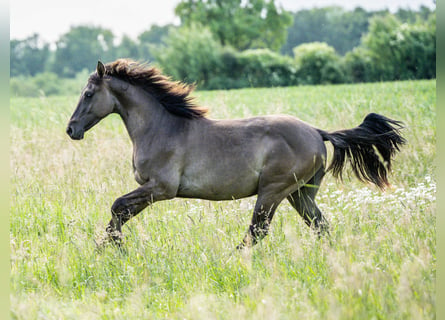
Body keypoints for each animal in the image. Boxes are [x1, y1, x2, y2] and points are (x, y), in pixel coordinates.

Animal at [67, 59, 406, 248]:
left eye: (88, 93)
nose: (71, 129)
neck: (161, 127)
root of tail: (317, 132)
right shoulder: (151, 190)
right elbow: (120, 212)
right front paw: (107, 248)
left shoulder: (161, 188)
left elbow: (117, 206)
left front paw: (111, 248)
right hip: (301, 194)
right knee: (320, 226)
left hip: (273, 191)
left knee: (258, 230)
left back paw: (232, 260)